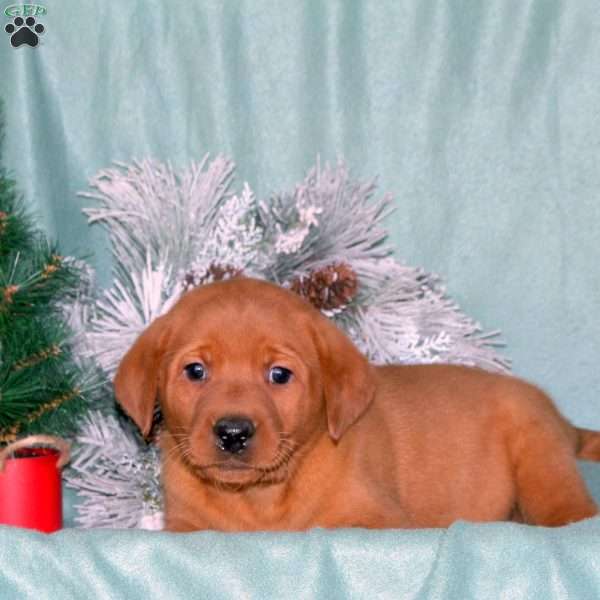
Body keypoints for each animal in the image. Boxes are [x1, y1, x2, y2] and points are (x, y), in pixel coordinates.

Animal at [113, 276, 600, 528]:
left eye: (279, 375)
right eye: (196, 371)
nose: (233, 432)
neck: (258, 499)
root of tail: (560, 418)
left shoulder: (379, 520)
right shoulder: (187, 527)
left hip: (539, 459)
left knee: (572, 509)